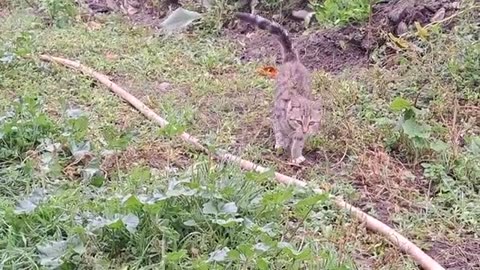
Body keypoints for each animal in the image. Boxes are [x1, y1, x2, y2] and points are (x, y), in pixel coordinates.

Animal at [235, 12, 324, 165]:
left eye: (312, 122)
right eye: (299, 121)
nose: (305, 130)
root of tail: (292, 58)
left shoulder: (300, 135)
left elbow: (298, 142)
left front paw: (296, 155)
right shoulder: (277, 116)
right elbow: (279, 132)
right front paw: (281, 144)